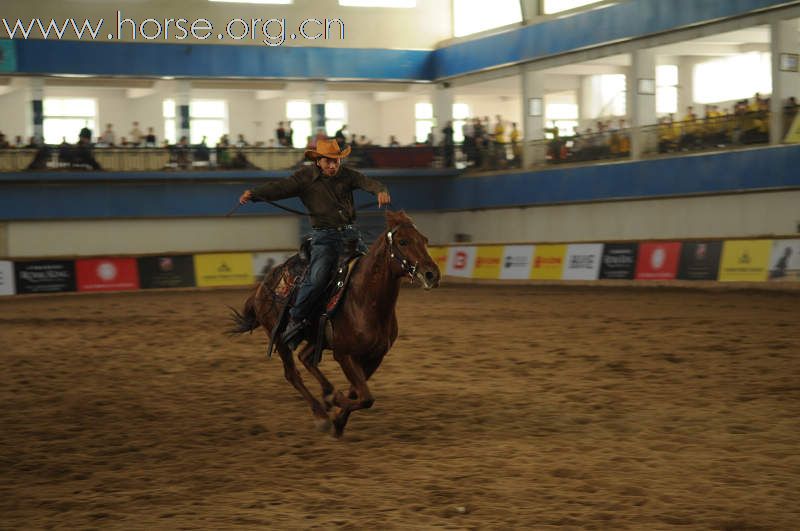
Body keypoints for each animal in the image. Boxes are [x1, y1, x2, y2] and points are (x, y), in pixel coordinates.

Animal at [228, 210, 440, 438]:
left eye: (425, 240)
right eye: (403, 241)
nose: (432, 275)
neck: (363, 300)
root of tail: (262, 287)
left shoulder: (375, 356)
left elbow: (357, 392)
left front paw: (338, 419)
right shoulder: (344, 355)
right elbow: (365, 397)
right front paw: (335, 404)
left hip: (315, 337)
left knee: (305, 358)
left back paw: (327, 393)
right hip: (280, 339)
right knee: (292, 374)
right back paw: (321, 414)